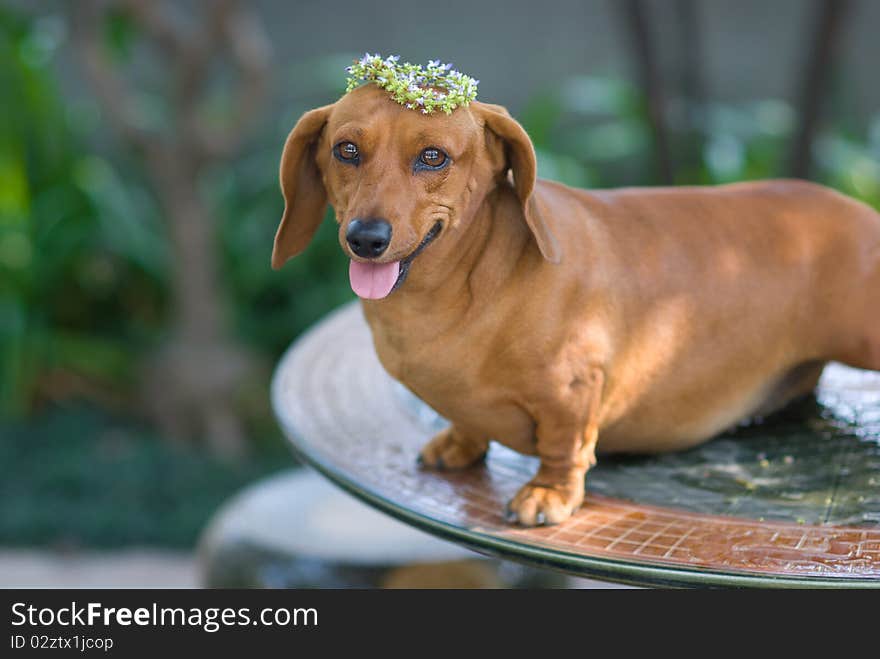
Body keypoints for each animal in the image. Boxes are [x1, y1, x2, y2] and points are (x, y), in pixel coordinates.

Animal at [274, 84, 880, 524]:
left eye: (432, 156)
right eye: (346, 149)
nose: (366, 238)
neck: (465, 290)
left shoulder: (573, 390)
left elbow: (564, 447)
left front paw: (548, 493)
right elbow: (466, 420)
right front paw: (460, 440)